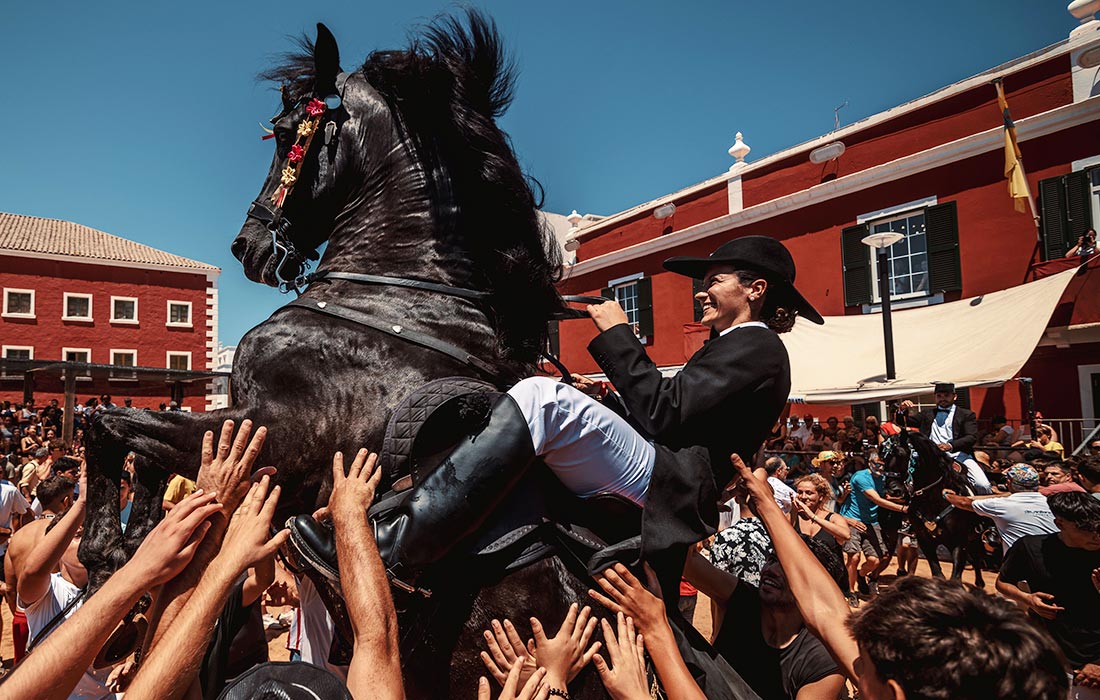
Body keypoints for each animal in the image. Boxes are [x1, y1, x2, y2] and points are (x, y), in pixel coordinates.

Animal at [79, 13, 620, 695]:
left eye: (287, 135)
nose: (246, 246)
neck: (394, 301)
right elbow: (133, 439)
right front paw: (139, 548)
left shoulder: (277, 445)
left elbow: (107, 423)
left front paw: (105, 560)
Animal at [880, 429, 994, 589]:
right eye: (883, 457)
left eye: (901, 454)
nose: (892, 491)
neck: (933, 500)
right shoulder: (925, 542)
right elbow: (937, 574)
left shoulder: (959, 543)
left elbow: (955, 578)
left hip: (974, 539)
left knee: (977, 560)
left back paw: (979, 584)